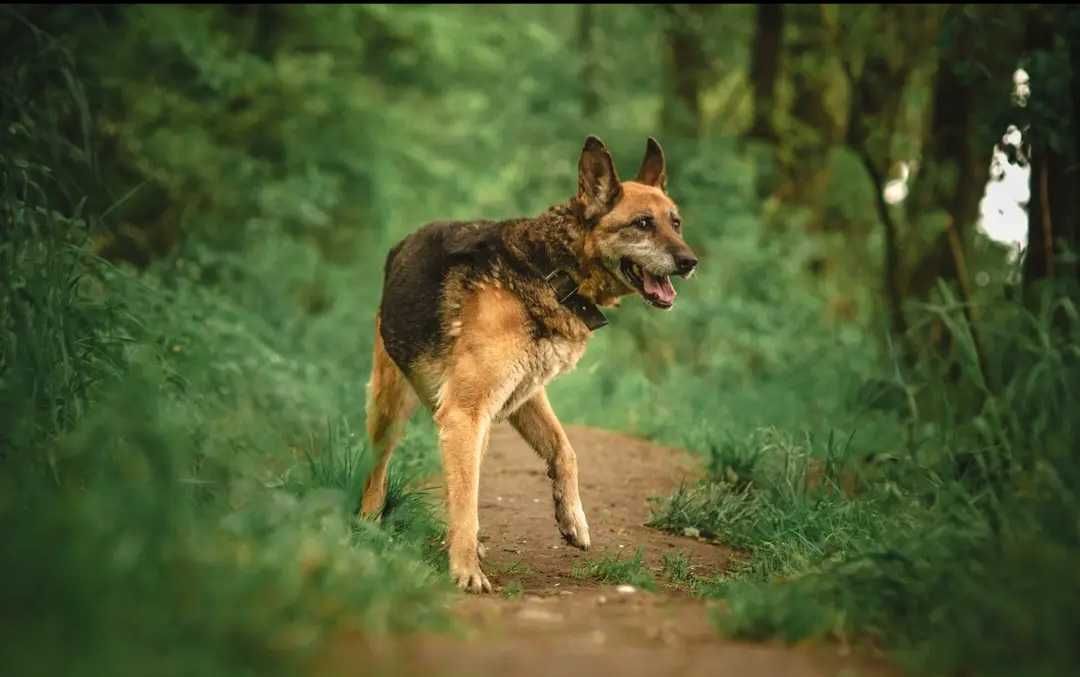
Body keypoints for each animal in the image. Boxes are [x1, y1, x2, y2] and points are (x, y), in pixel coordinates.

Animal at [360, 136, 699, 591]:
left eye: (675, 223)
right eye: (642, 223)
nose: (690, 262)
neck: (554, 273)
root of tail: (401, 245)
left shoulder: (523, 396)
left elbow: (564, 450)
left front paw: (572, 519)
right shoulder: (465, 413)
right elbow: (467, 501)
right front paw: (465, 570)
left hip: (477, 426)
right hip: (391, 410)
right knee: (378, 477)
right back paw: (368, 528)